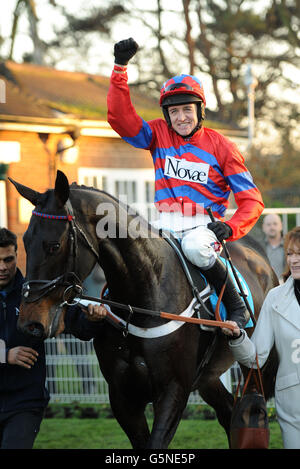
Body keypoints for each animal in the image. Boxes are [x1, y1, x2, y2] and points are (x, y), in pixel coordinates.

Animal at [9, 170, 278, 448]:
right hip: (209, 376)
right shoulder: (122, 396)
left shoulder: (173, 390)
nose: (29, 322)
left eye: (54, 245)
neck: (143, 299)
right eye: (25, 242)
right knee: (228, 412)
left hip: (255, 362)